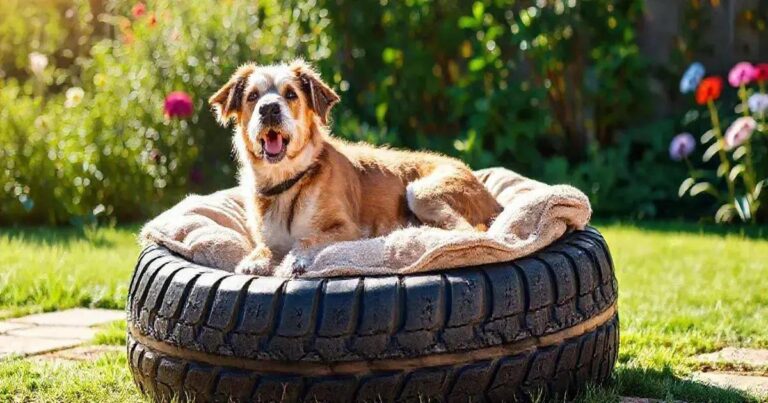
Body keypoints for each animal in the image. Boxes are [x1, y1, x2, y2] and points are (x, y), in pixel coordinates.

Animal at [208, 60, 504, 276]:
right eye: (252, 97)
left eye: (290, 94)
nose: (269, 109)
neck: (288, 183)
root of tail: (493, 199)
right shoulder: (268, 239)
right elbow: (263, 248)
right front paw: (255, 260)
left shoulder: (348, 229)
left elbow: (309, 239)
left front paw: (295, 260)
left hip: (422, 192)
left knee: (465, 233)